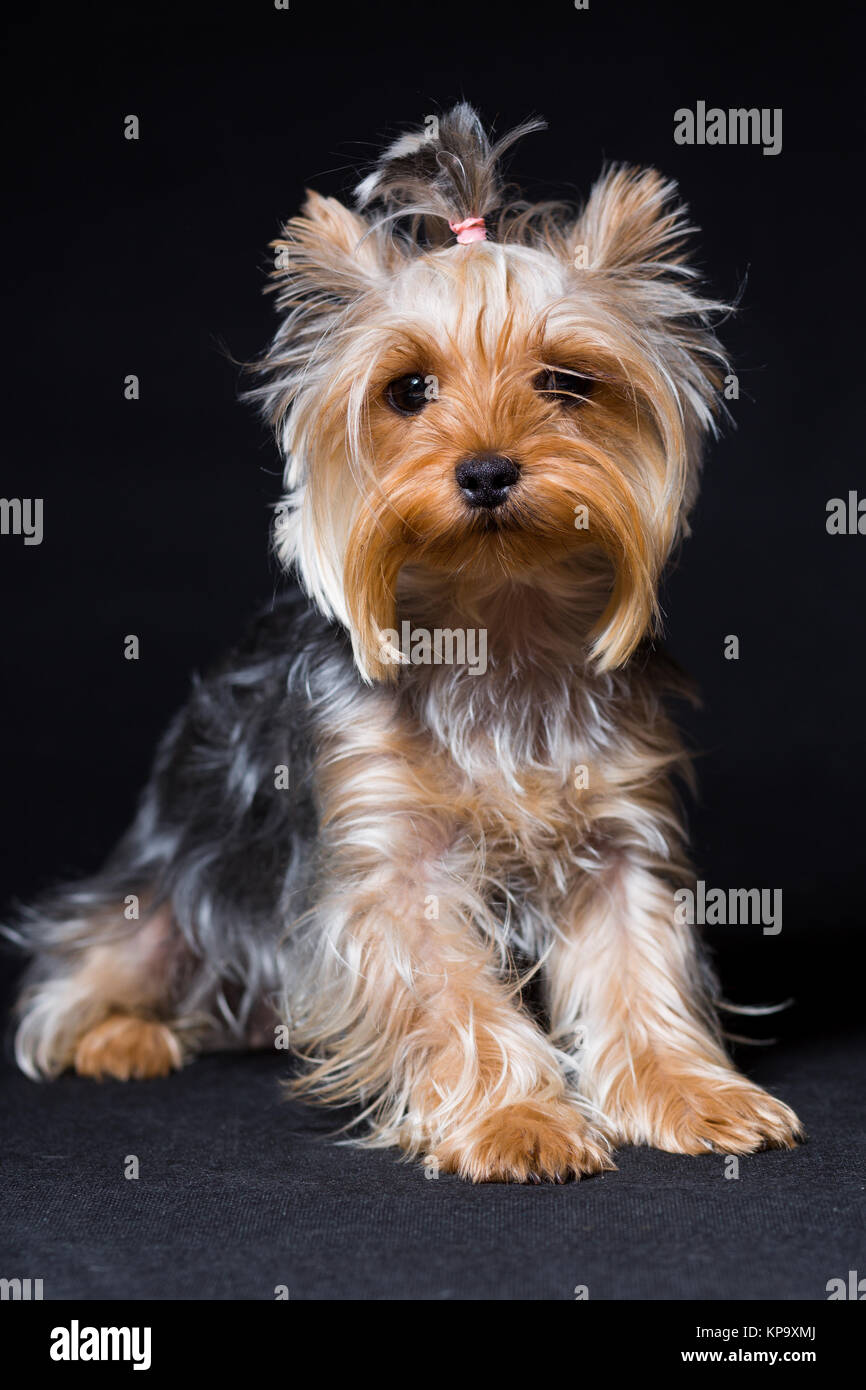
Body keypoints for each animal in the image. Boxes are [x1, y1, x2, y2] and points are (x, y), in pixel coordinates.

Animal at [10, 105, 800, 1184]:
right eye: (408, 389)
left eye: (564, 381)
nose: (486, 471)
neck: (497, 623)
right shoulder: (393, 860)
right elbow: (450, 990)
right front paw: (519, 1120)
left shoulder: (615, 834)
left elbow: (635, 965)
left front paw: (690, 1092)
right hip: (163, 886)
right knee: (87, 966)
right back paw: (119, 1035)